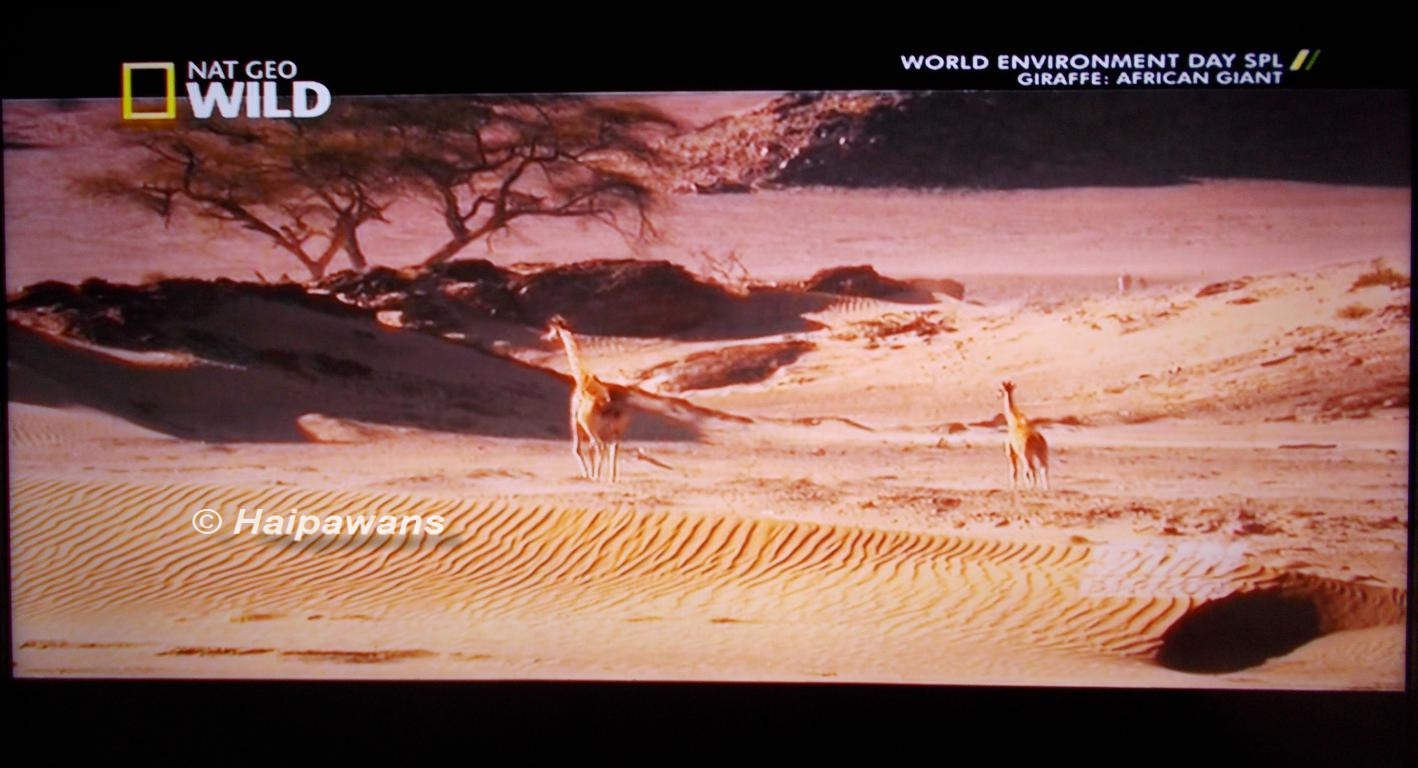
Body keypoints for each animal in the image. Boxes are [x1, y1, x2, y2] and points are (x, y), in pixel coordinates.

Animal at [542, 316, 631, 482]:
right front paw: (591, 473)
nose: (545, 337)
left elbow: (577, 448)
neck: (581, 377)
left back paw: (596, 476)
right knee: (613, 448)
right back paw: (611, 478)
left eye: (551, 329)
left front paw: (588, 474)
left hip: (591, 427)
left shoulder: (574, 417)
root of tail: (611, 407)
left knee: (599, 446)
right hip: (616, 430)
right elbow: (588, 448)